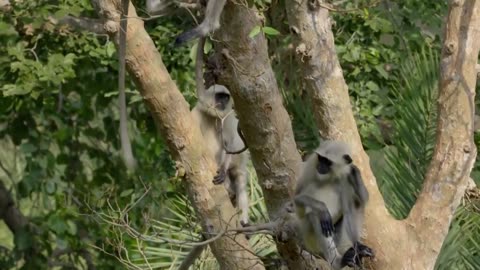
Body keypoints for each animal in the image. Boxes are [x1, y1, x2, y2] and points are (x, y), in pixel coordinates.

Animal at [191, 84, 251, 226]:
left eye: (226, 97)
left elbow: (229, 144)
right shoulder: (197, 112)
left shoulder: (227, 118)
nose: (223, 102)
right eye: (219, 96)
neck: (214, 116)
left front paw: (223, 171)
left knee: (240, 183)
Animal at [292, 140, 376, 268]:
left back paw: (356, 250)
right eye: (321, 159)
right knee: (316, 215)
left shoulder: (345, 176)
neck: (329, 177)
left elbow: (360, 201)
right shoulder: (311, 165)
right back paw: (338, 262)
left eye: (327, 161)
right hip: (310, 240)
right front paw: (322, 209)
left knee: (355, 203)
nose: (321, 166)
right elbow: (297, 199)